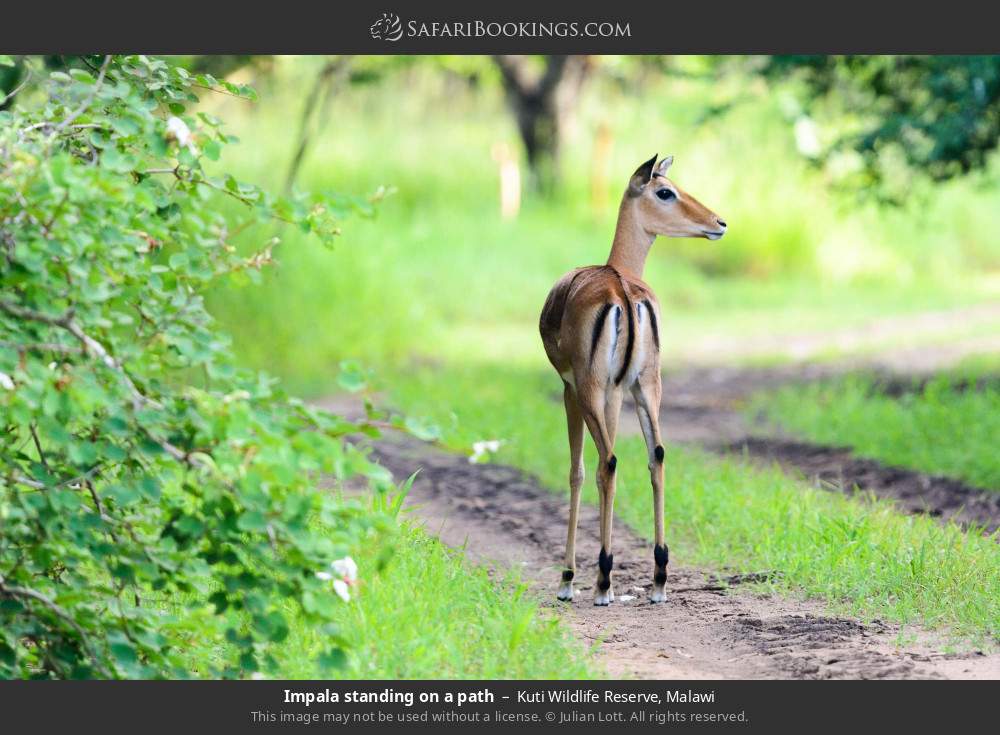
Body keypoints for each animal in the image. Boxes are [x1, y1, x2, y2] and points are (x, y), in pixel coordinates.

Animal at [539, 154, 726, 606]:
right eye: (666, 191)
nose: (719, 222)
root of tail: (622, 290)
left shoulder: (572, 389)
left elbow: (577, 471)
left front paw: (568, 580)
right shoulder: (618, 391)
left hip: (592, 391)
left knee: (607, 461)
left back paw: (602, 581)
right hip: (647, 388)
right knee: (656, 455)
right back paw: (658, 578)